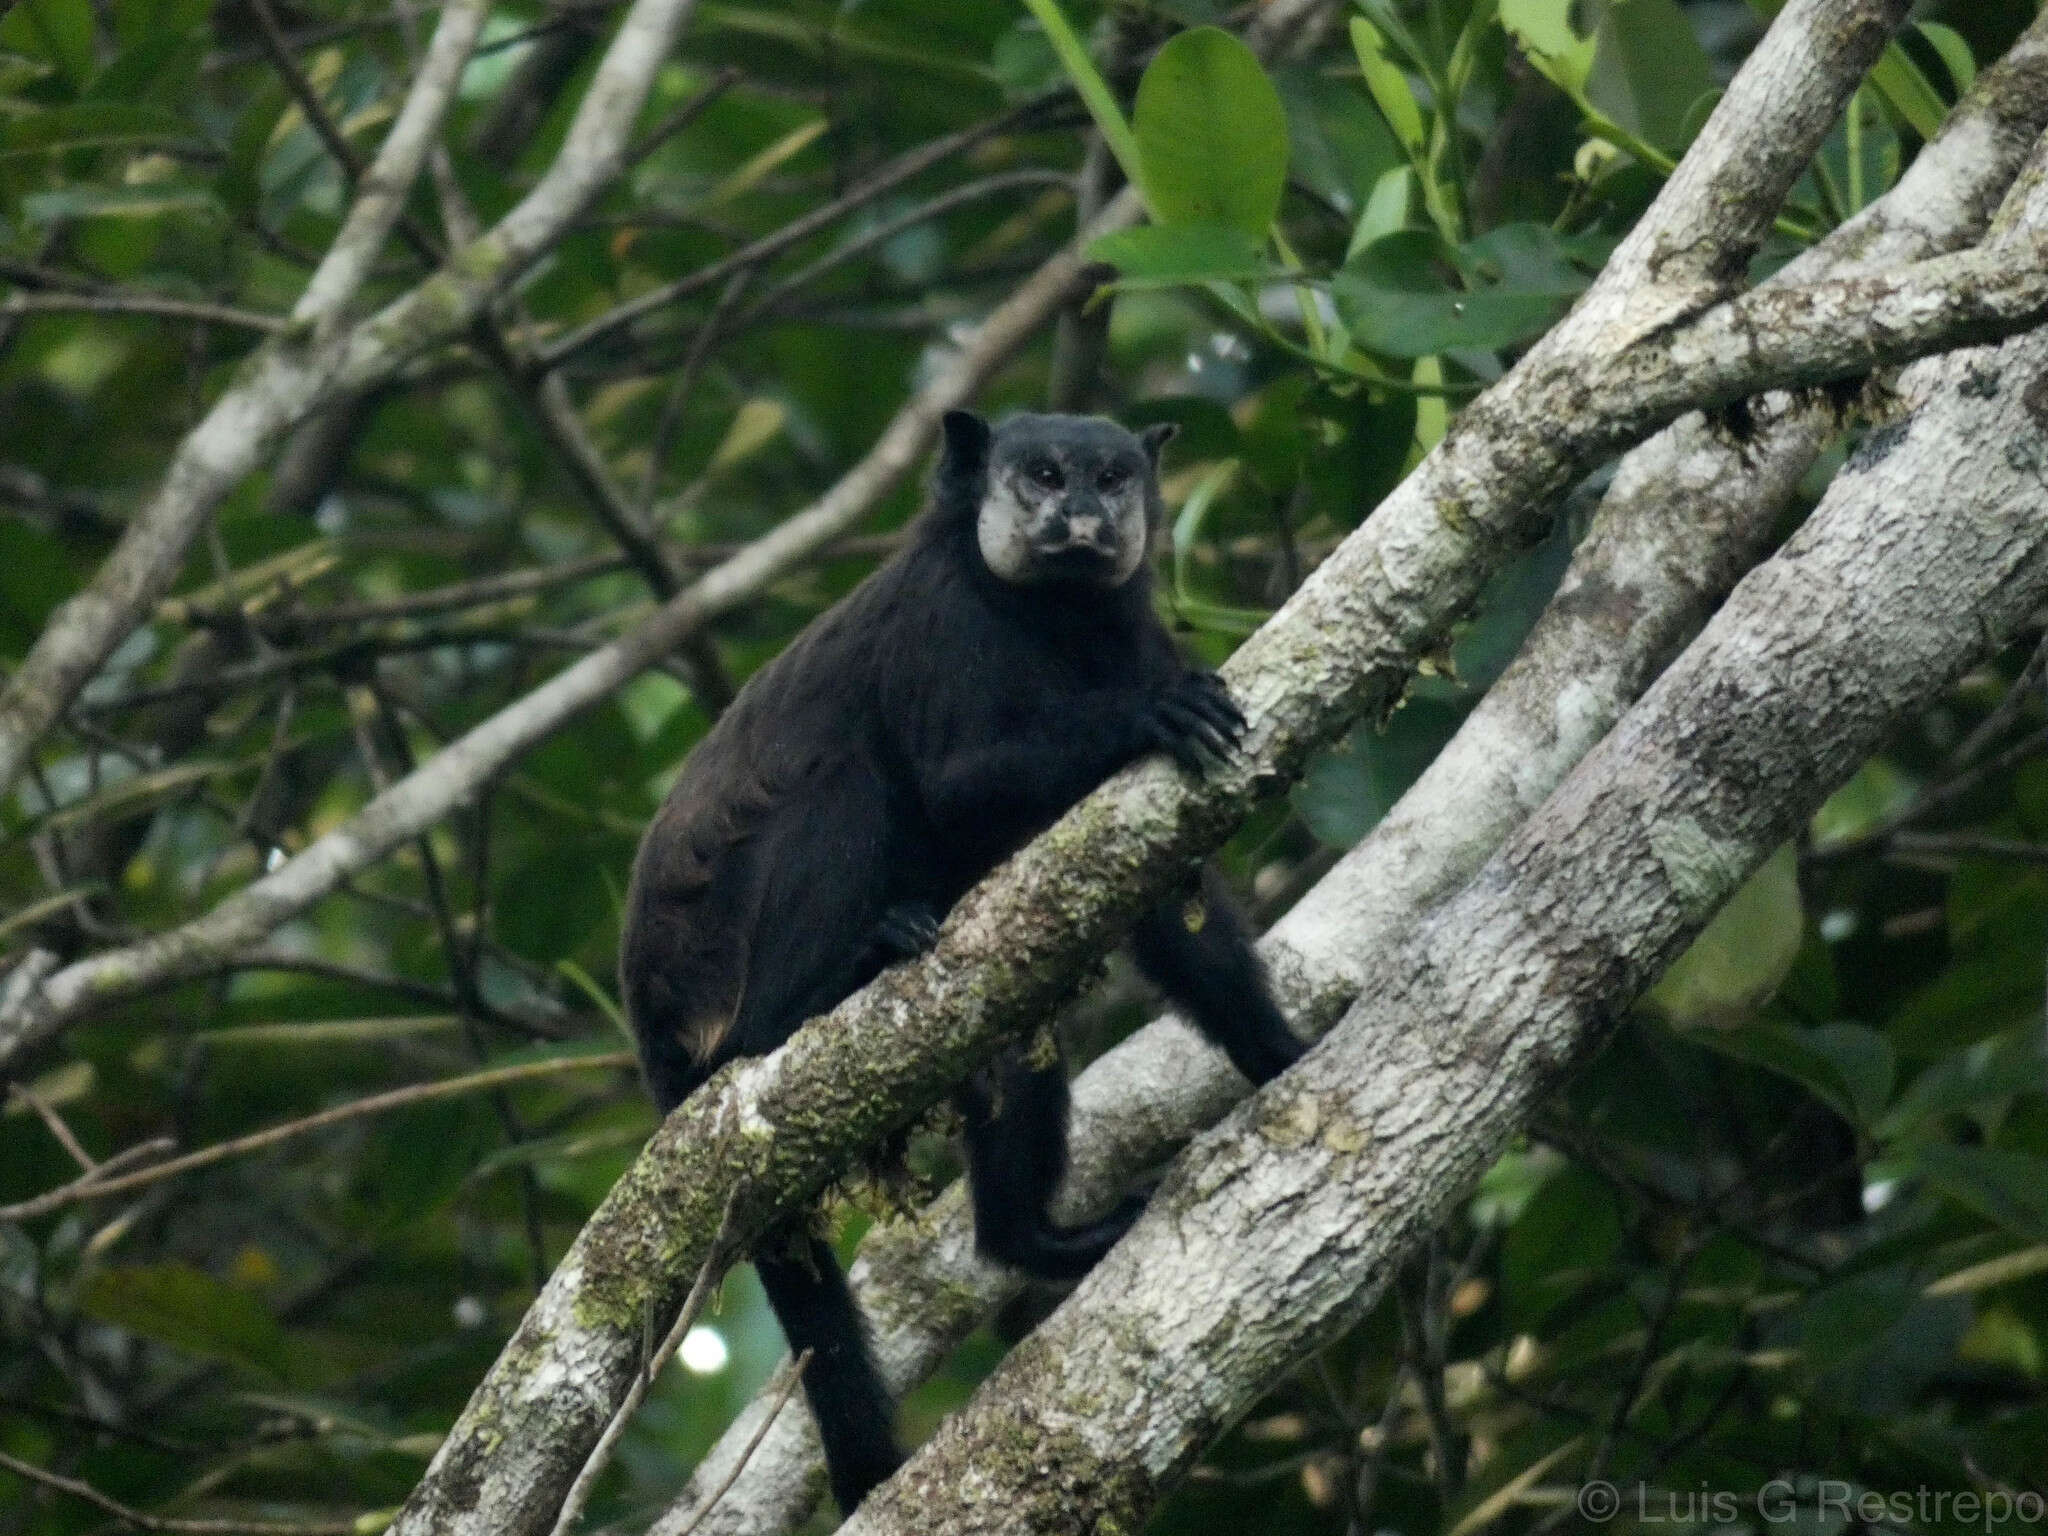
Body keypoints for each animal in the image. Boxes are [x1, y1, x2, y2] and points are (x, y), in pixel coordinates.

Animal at [614, 409, 1302, 1515]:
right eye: (1043, 474)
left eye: (1114, 476)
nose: (1083, 516)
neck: (1053, 617)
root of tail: (654, 1033)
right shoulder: (943, 622)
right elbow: (953, 782)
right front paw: (1140, 719)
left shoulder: (1133, 632)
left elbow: (1157, 903)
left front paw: (1277, 1053)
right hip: (712, 966)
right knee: (846, 785)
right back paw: (821, 991)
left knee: (1009, 1040)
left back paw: (1028, 1240)